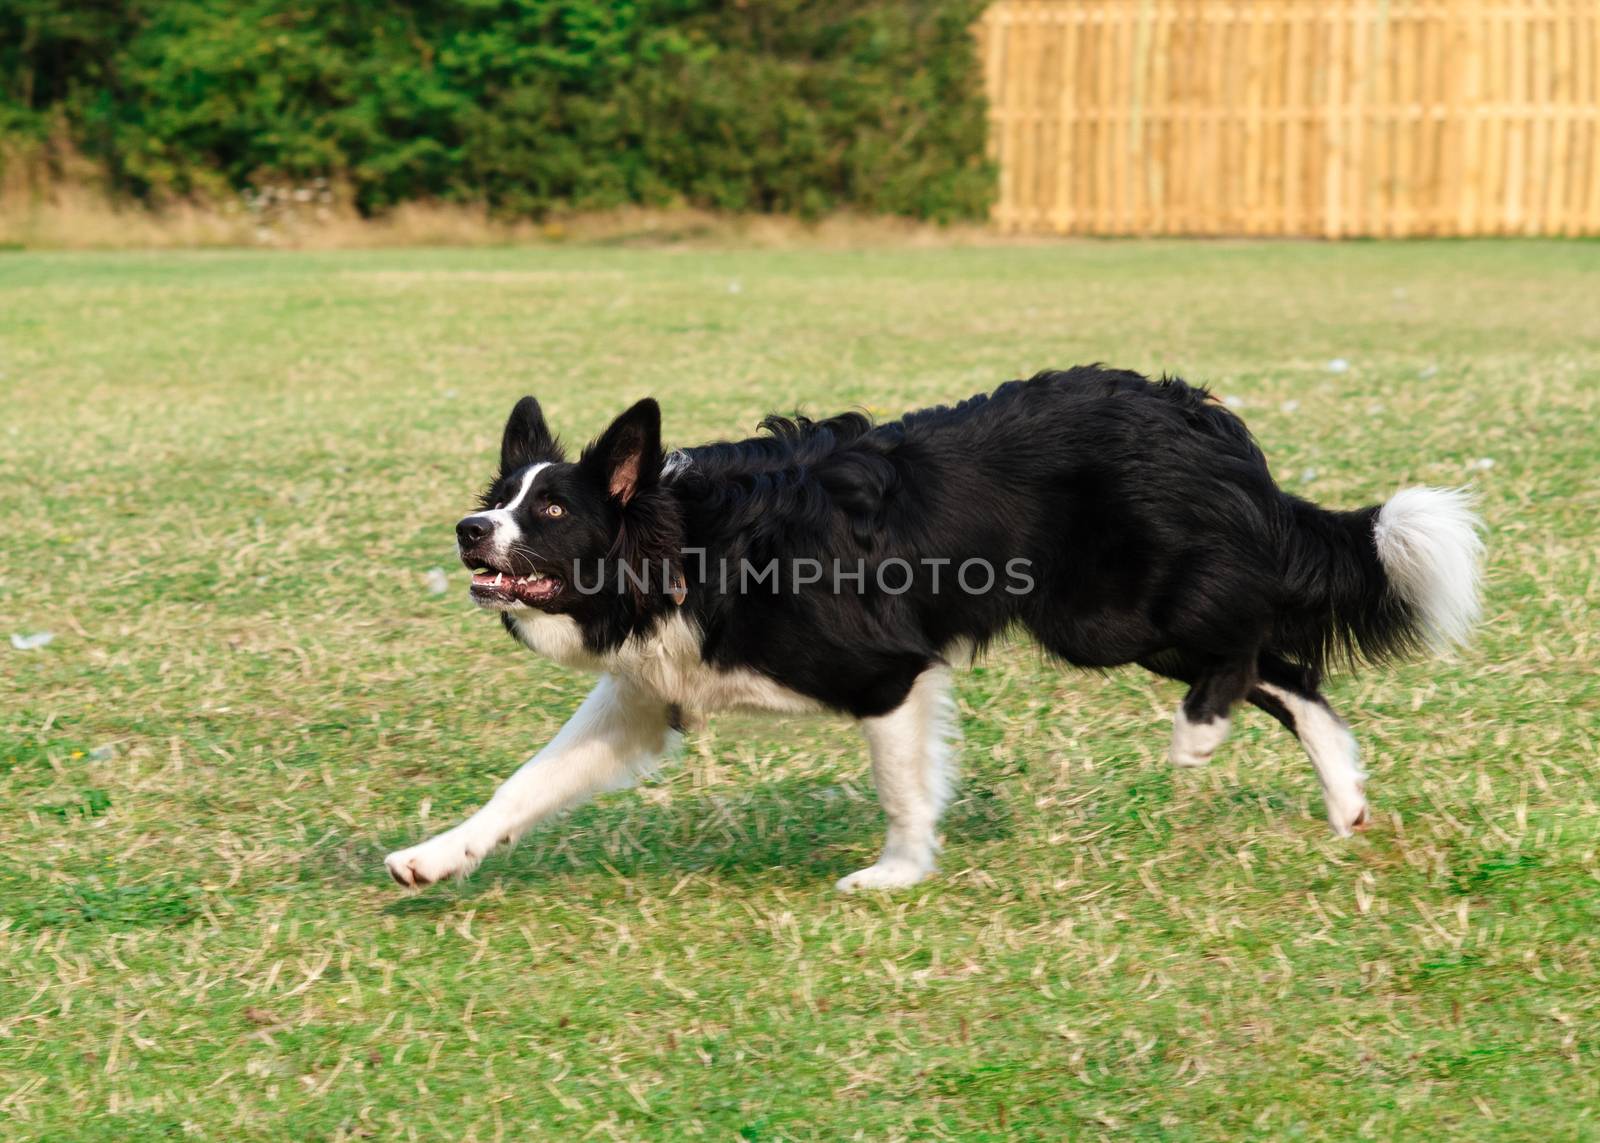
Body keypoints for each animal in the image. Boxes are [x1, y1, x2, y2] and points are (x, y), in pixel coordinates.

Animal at [380, 366, 1478, 890]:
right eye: (498, 499)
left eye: (550, 510)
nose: (468, 529)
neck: (686, 542)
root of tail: (1198, 413)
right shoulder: (643, 701)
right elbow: (525, 785)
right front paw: (436, 857)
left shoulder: (885, 672)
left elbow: (902, 783)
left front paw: (897, 875)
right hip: (1132, 619)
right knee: (1292, 672)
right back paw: (1345, 802)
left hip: (1108, 615)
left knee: (1252, 637)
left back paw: (1201, 733)